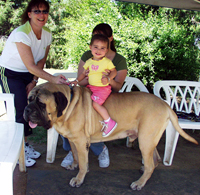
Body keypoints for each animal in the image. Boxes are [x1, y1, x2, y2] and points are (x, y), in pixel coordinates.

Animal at [23, 82, 198, 190]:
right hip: (148, 140)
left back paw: (139, 183)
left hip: (145, 140)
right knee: (154, 160)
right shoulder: (73, 141)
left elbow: (83, 163)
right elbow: (75, 156)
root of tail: (166, 104)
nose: (26, 110)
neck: (67, 107)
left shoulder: (80, 141)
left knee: (151, 164)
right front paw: (73, 165)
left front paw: (79, 178)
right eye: (29, 99)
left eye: (41, 103)